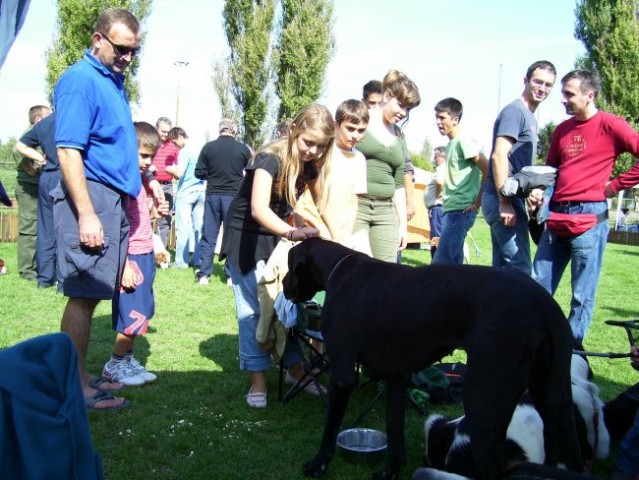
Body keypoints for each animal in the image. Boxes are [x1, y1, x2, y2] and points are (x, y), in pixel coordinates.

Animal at [284, 239, 584, 480]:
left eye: (288, 264)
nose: (284, 285)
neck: (339, 267)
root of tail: (543, 304)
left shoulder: (342, 375)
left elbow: (330, 429)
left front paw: (317, 465)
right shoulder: (396, 378)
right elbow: (395, 430)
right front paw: (390, 472)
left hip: (483, 405)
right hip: (556, 403)